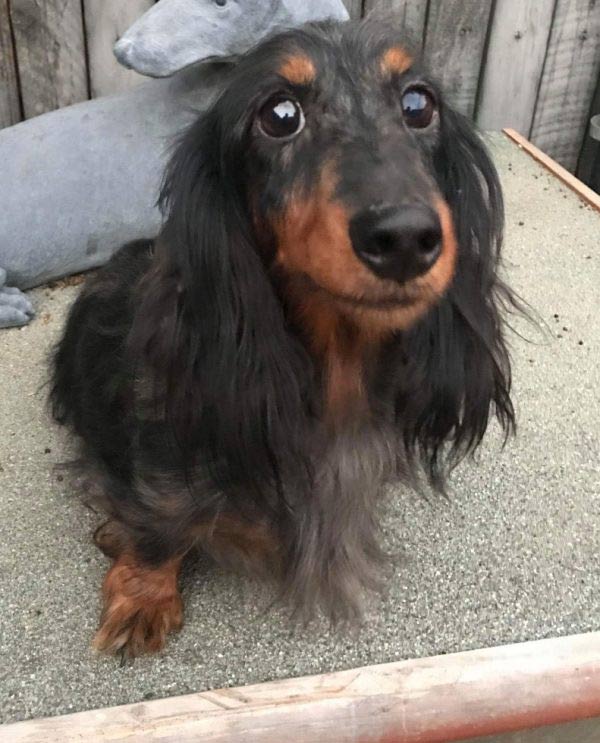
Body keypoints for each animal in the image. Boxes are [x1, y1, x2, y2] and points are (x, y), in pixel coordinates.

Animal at [50, 18, 516, 656]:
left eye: (419, 104)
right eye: (279, 114)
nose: (404, 238)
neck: (333, 363)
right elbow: (159, 520)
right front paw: (144, 596)